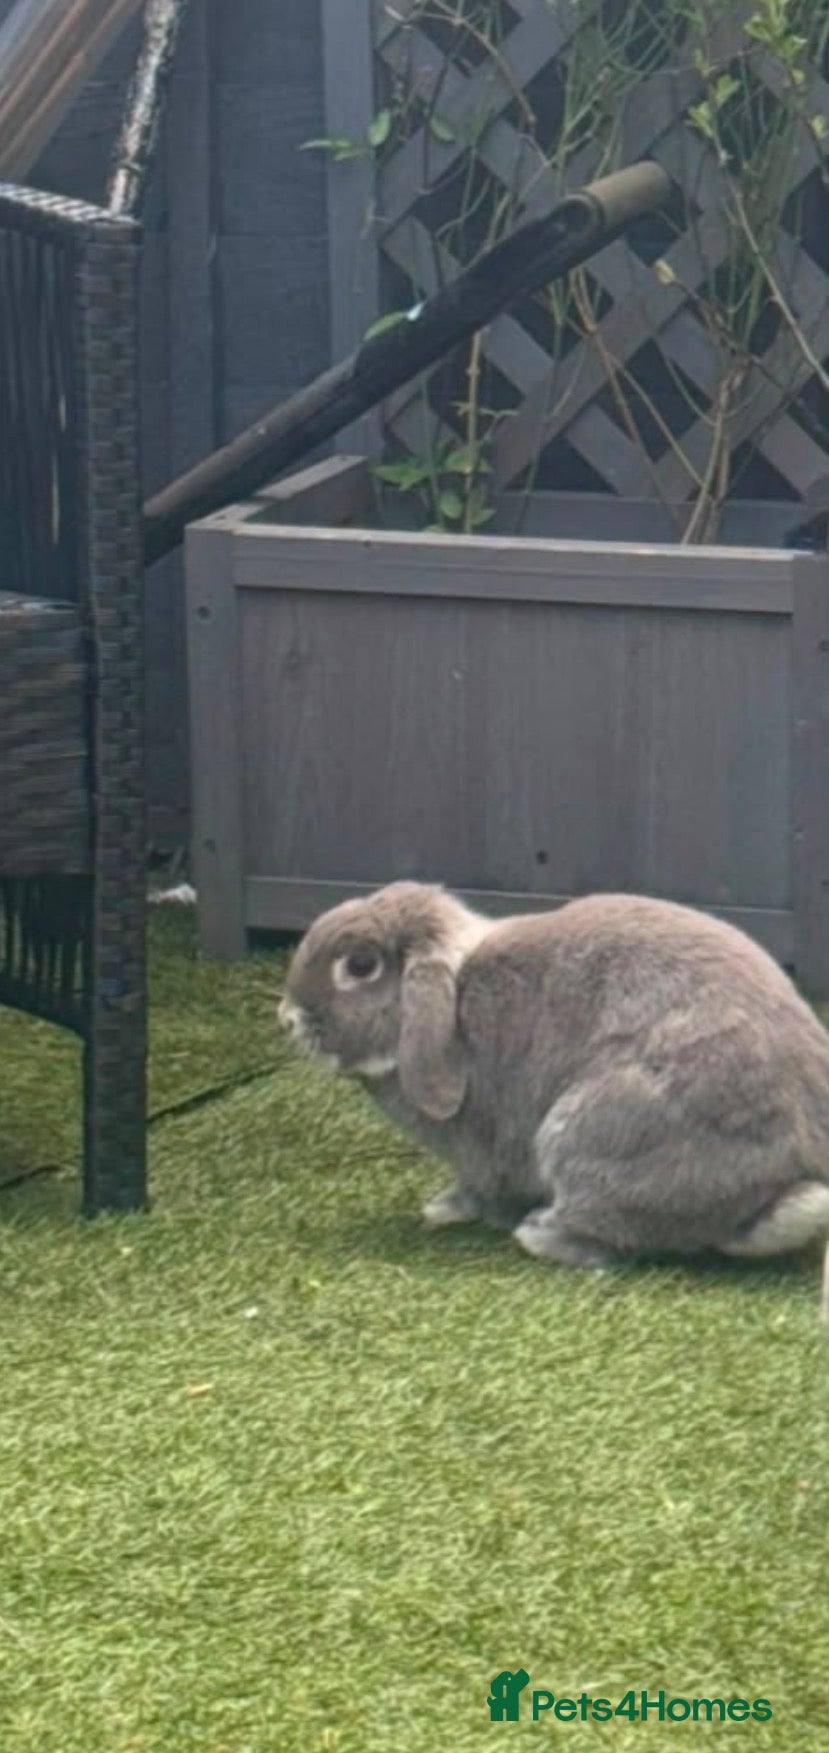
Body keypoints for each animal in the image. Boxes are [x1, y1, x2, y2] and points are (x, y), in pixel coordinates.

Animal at [279, 881, 829, 1319]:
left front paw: (450, 1210)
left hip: (589, 1135)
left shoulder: (483, 1153)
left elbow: (481, 1187)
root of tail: (792, 1171)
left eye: (360, 965)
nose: (288, 1017)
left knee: (619, 1239)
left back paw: (540, 1235)